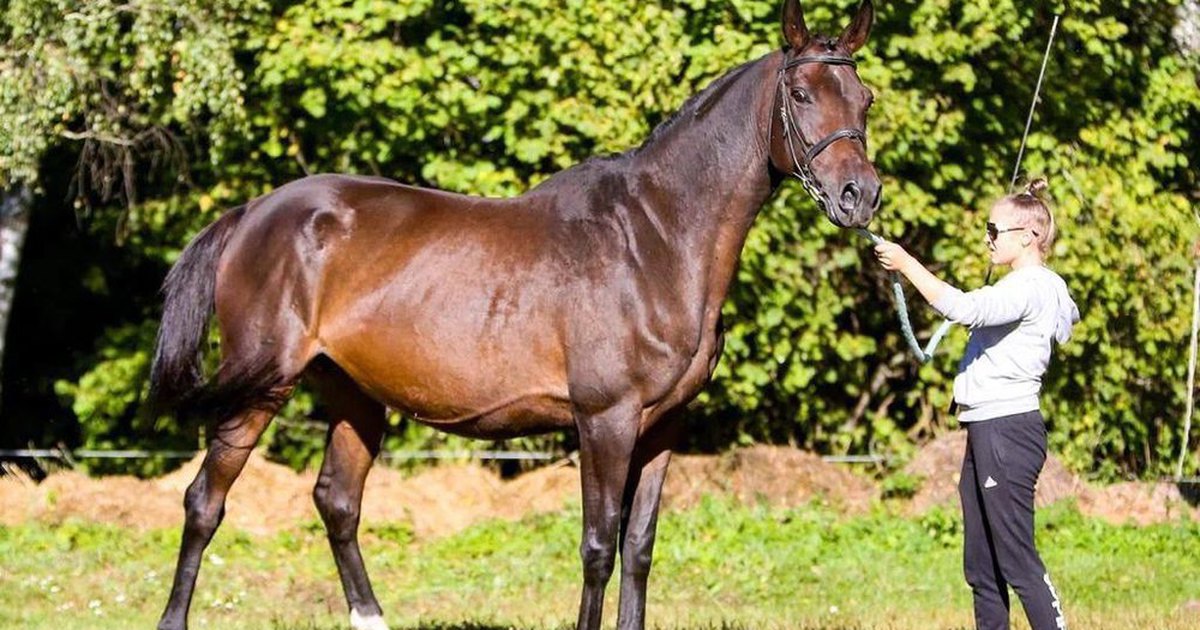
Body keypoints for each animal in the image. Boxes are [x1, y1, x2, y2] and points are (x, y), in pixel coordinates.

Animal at [150, 1, 883, 628]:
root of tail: (254, 212)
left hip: (354, 394)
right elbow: (598, 546)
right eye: (800, 95)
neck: (655, 237)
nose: (860, 196)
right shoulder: (605, 420)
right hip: (263, 386)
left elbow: (640, 547)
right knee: (204, 501)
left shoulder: (664, 425)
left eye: (864, 99)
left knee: (336, 501)